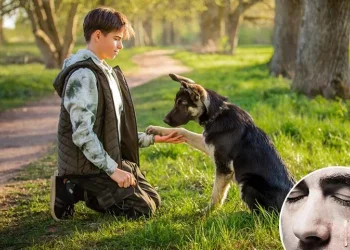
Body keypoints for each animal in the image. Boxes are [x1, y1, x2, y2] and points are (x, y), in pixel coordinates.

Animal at [148, 73, 296, 212]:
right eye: (175, 102)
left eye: (182, 103)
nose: (165, 120)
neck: (216, 114)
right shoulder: (207, 144)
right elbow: (183, 131)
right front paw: (155, 129)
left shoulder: (224, 168)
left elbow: (216, 194)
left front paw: (207, 212)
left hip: (248, 183)